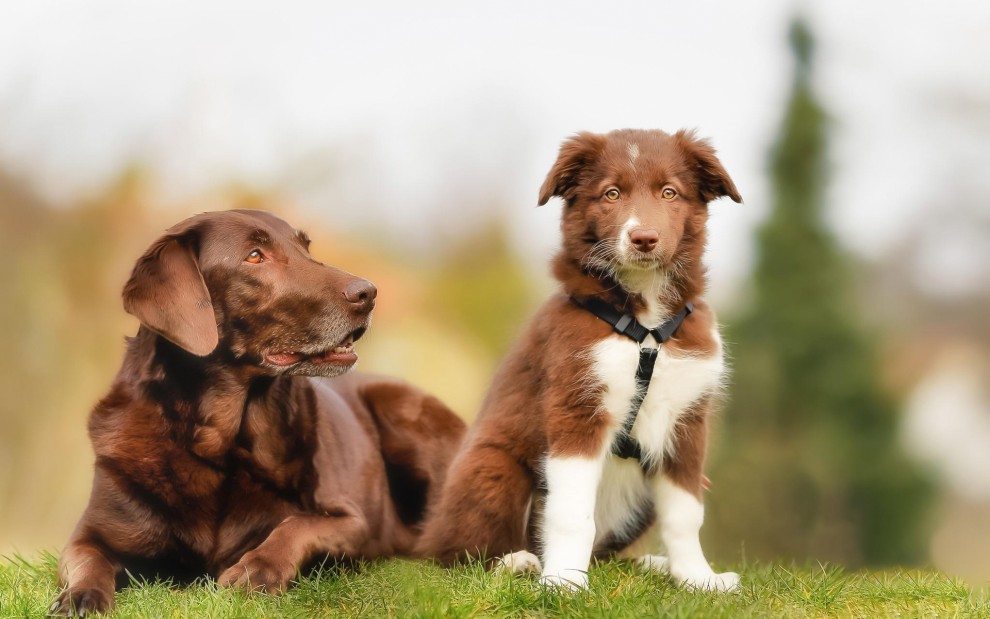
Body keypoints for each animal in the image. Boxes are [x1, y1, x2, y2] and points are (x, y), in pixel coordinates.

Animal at [52, 209, 470, 616]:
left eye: (305, 247)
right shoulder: (88, 534)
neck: (222, 445)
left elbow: (297, 524)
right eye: (255, 256)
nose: (368, 292)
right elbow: (88, 560)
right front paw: (80, 596)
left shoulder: (353, 520)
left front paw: (257, 570)